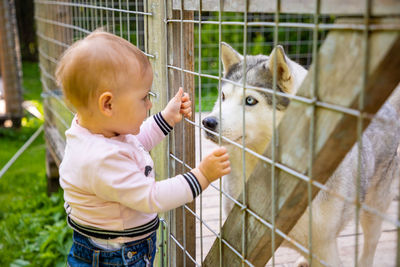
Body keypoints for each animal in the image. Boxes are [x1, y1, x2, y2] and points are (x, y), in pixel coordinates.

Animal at [203, 43, 400, 266]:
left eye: (250, 100)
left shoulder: (325, 247)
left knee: (370, 243)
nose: (207, 122)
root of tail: (387, 106)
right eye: (223, 97)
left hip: (373, 210)